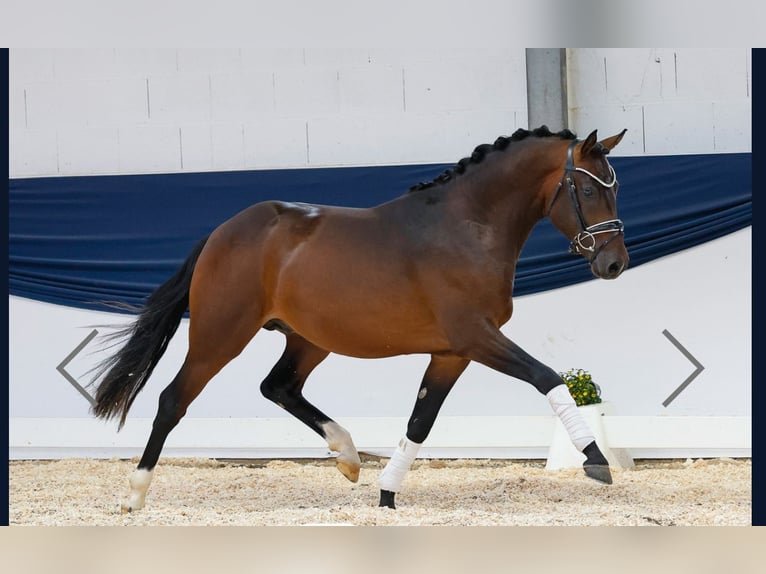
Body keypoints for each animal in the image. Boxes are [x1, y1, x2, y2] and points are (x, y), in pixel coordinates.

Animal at [90, 126, 632, 512]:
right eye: (587, 190)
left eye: (615, 188)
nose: (613, 263)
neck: (467, 226)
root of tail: (223, 231)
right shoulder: (477, 337)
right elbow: (547, 377)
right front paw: (595, 460)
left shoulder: (451, 352)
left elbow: (420, 421)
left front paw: (387, 493)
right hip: (219, 336)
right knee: (173, 399)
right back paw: (135, 494)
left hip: (309, 340)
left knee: (278, 386)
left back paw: (348, 457)